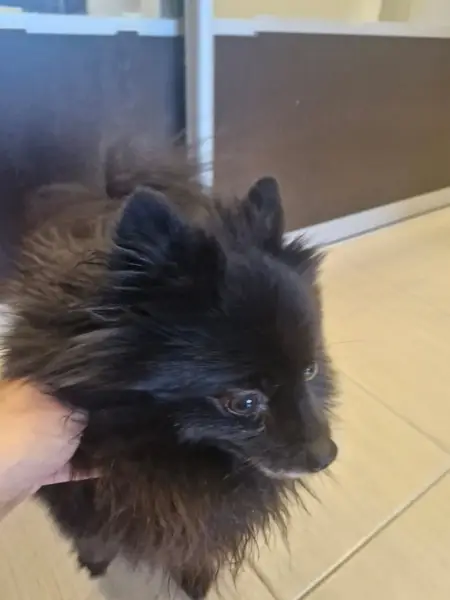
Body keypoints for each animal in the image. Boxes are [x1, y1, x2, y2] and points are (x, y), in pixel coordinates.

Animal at [1, 145, 338, 599]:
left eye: (310, 370)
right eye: (245, 402)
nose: (327, 455)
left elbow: (198, 548)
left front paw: (195, 579)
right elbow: (95, 535)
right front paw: (96, 560)